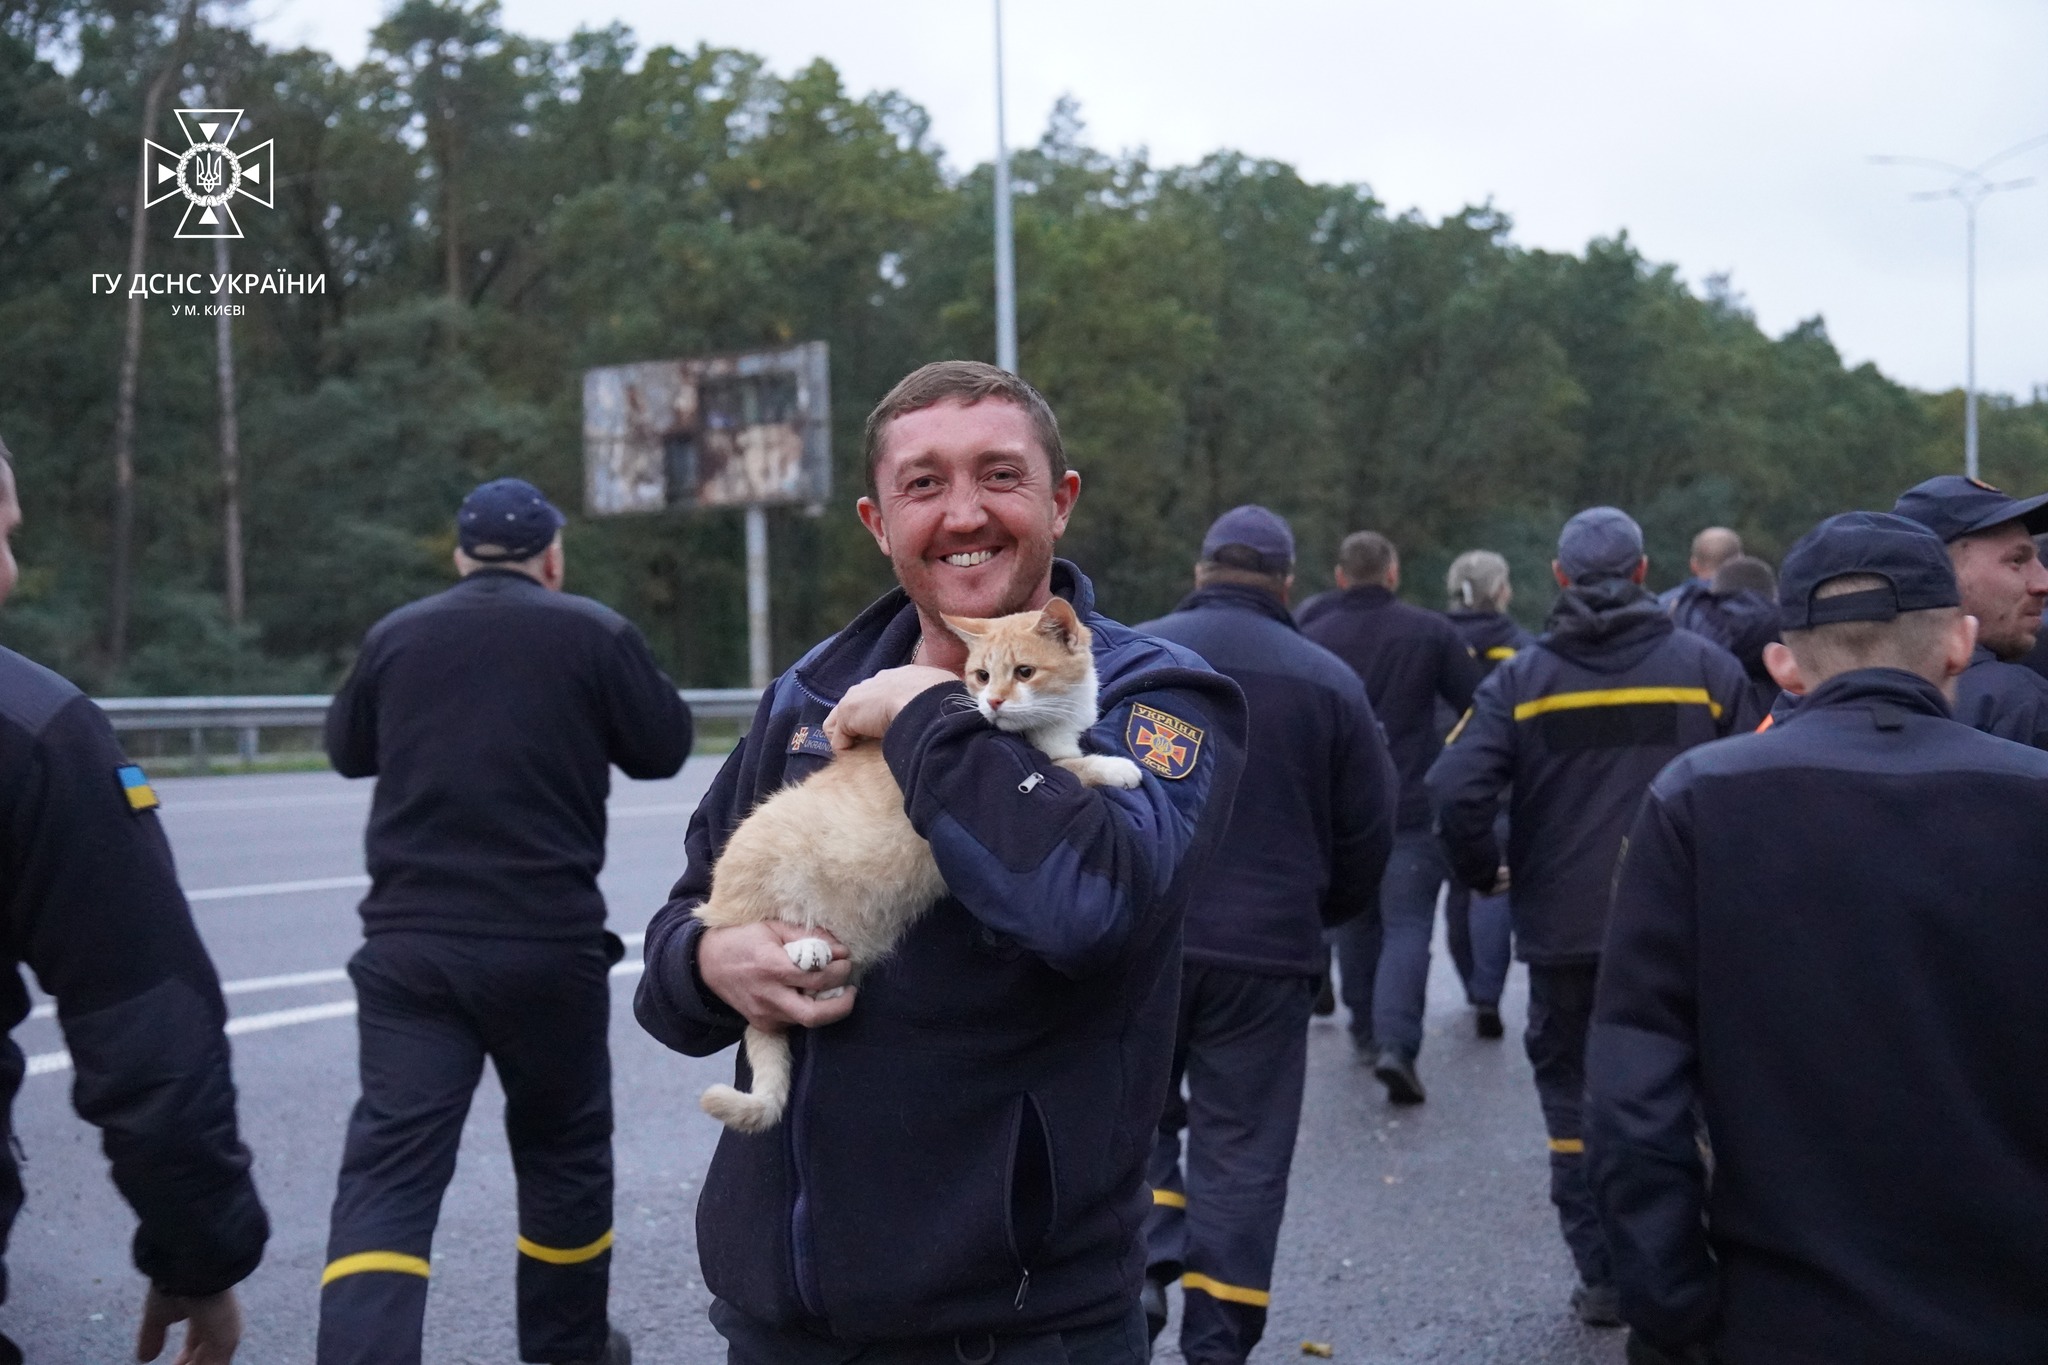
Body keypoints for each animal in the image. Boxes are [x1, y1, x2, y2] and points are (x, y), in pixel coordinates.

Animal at [688, 597, 1138, 1129]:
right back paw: (804, 948)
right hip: (766, 858)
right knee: (753, 926)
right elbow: (1072, 767)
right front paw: (1118, 767)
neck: (1042, 728)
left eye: (1024, 672)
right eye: (982, 675)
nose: (993, 703)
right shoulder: (1043, 764)